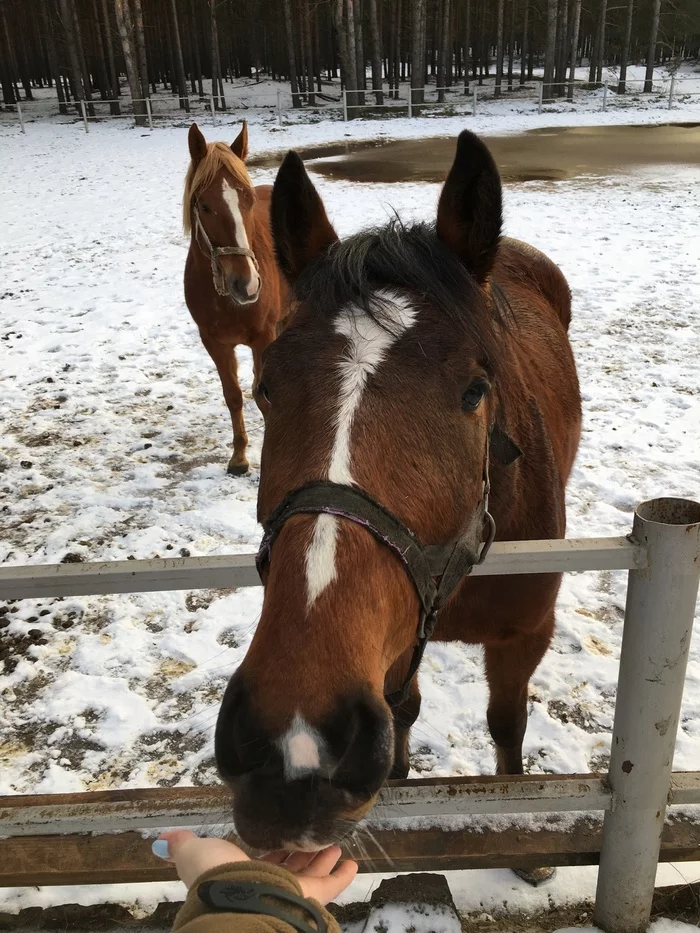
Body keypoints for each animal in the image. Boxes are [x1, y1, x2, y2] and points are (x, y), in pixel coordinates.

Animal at [183, 121, 289, 475]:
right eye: (204, 205)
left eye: (248, 201)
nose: (247, 284)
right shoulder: (213, 341)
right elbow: (233, 395)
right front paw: (240, 456)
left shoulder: (262, 337)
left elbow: (262, 395)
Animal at [214, 130, 582, 857]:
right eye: (267, 386)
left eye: (475, 390)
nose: (293, 743)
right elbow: (403, 706)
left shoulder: (526, 635)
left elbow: (507, 723)